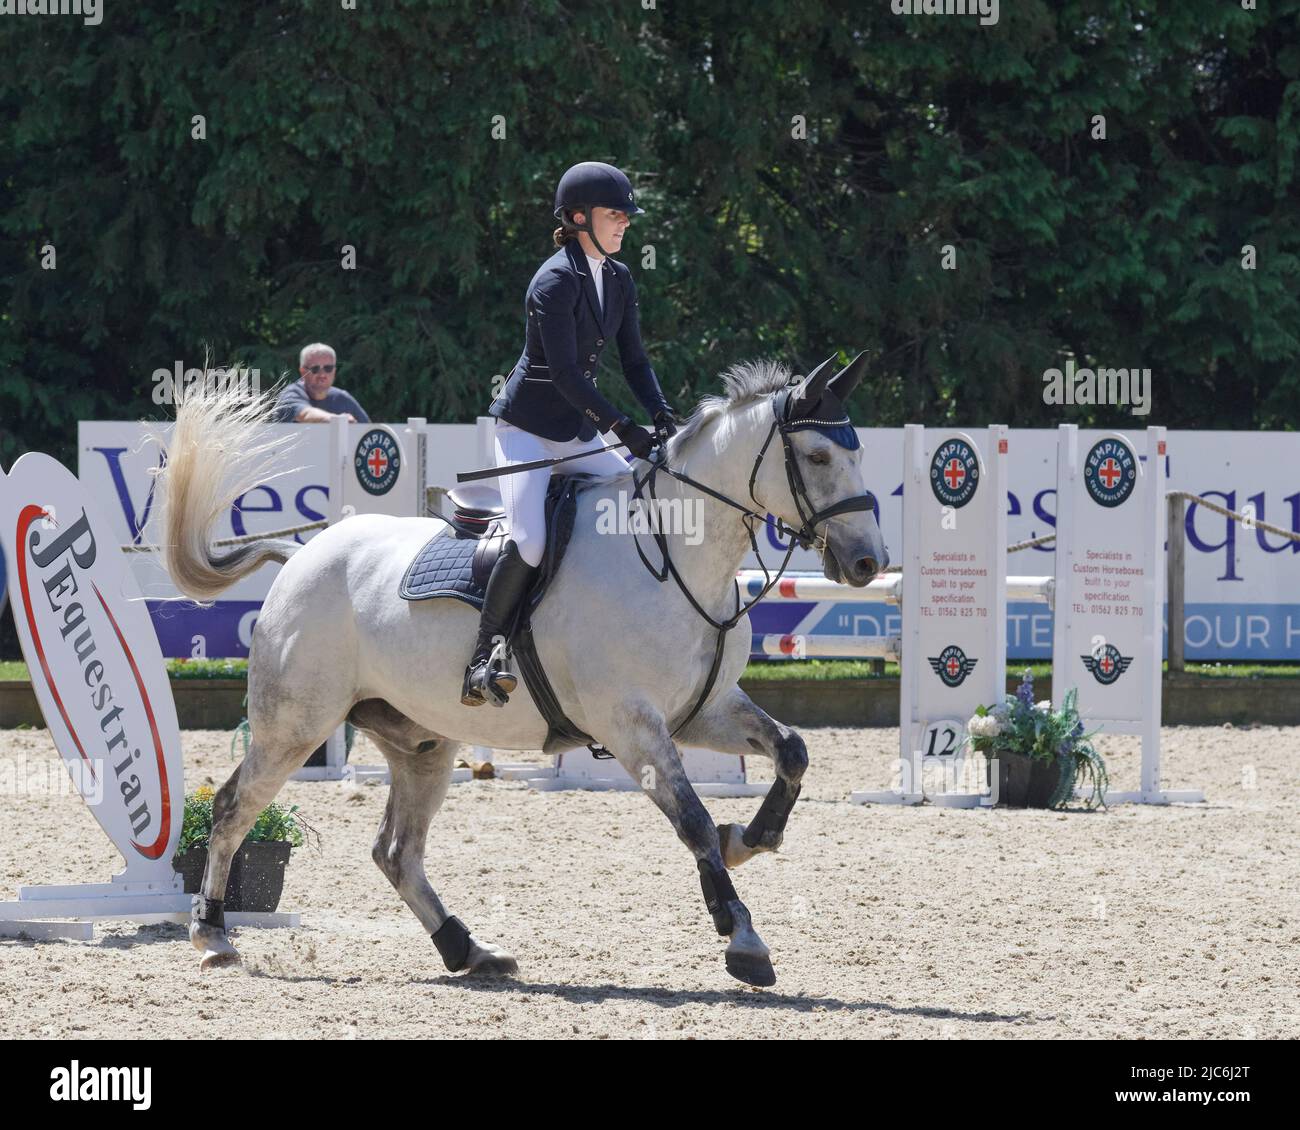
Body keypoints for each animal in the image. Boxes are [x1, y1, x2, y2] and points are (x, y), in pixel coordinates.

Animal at [159, 351, 883, 977]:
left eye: (858, 452)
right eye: (818, 455)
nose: (867, 562)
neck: (673, 554)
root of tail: (301, 555)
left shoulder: (701, 711)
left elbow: (791, 751)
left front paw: (751, 835)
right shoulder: (631, 725)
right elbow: (694, 819)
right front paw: (743, 936)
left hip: (422, 742)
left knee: (396, 851)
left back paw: (468, 950)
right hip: (295, 726)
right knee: (234, 808)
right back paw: (213, 935)